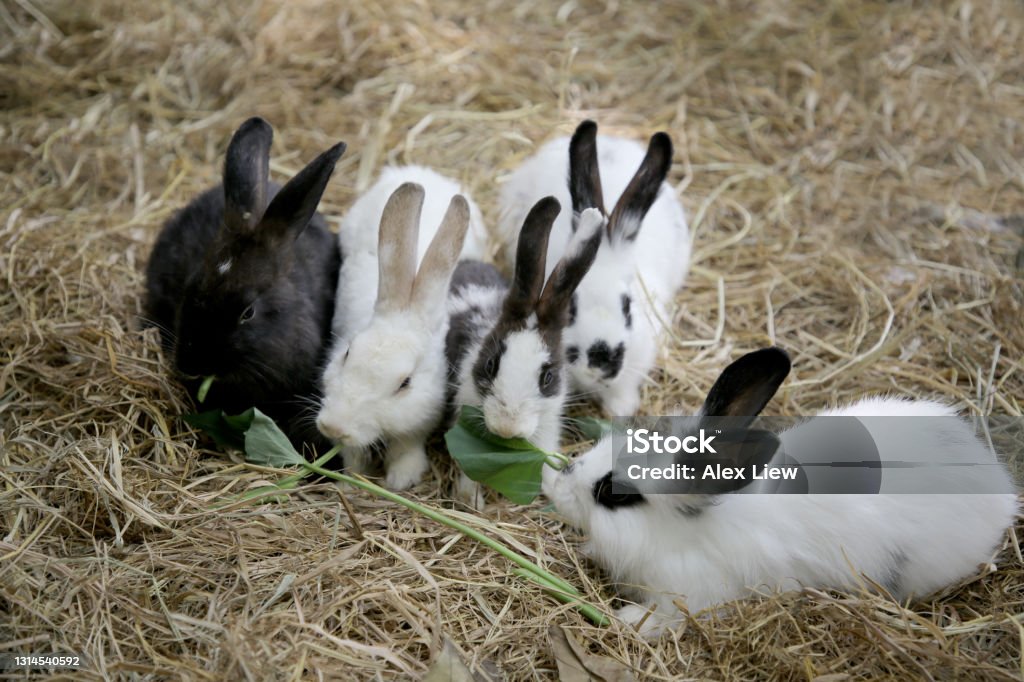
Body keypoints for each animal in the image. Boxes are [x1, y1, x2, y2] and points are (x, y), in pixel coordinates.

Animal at [315, 180, 471, 489]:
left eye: (405, 384)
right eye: (347, 354)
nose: (334, 427)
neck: (407, 305)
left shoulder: (418, 423)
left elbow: (405, 449)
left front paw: (401, 480)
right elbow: (353, 456)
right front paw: (352, 480)